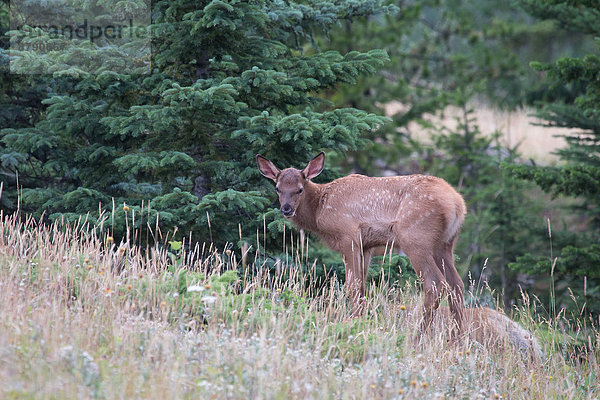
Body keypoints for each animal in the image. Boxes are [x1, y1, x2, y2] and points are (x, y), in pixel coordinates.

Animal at [255, 152, 466, 332]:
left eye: (299, 189)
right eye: (277, 188)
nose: (286, 209)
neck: (319, 209)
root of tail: (456, 204)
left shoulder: (348, 235)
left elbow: (352, 285)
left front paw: (355, 322)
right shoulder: (367, 245)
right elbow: (363, 285)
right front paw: (363, 320)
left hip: (415, 238)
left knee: (435, 283)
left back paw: (420, 335)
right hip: (445, 244)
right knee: (456, 284)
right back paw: (457, 336)